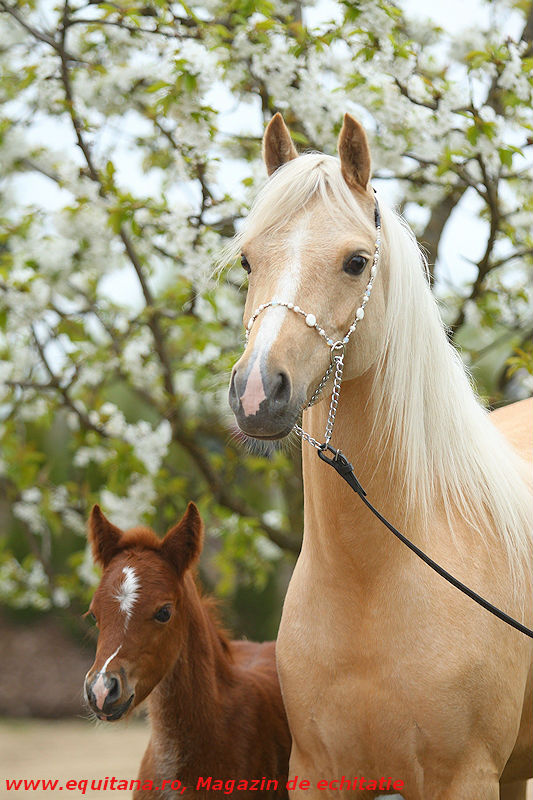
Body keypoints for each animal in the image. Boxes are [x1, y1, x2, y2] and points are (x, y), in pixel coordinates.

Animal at [225, 112, 532, 800]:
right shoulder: (319, 773)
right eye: (248, 260)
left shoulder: (465, 777)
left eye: (355, 261)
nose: (257, 393)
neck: (371, 578)